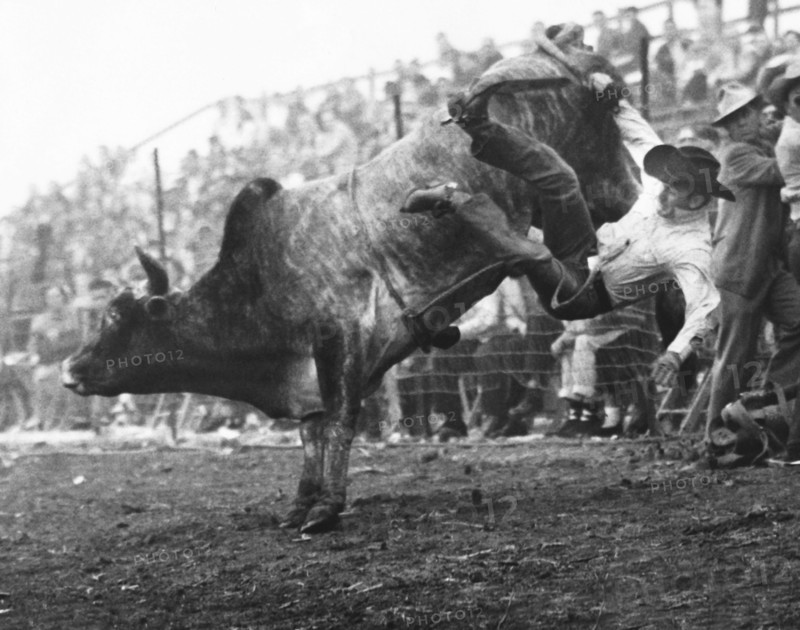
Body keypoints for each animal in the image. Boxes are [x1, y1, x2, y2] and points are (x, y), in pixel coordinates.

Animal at [62, 47, 640, 533]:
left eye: (116, 319)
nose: (70, 368)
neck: (259, 281)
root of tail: (576, 60)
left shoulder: (339, 338)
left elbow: (339, 422)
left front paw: (325, 509)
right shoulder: (311, 379)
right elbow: (313, 433)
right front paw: (301, 503)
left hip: (602, 183)